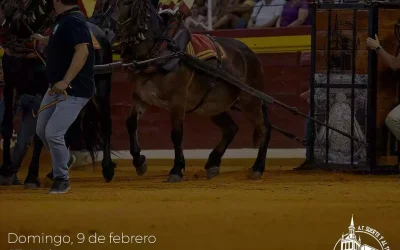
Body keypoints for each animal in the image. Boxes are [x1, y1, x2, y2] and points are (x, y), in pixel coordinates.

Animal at [95, 0, 274, 182]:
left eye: (128, 3)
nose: (106, 28)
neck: (158, 51)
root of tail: (250, 53)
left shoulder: (178, 100)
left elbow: (177, 133)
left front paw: (176, 169)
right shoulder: (142, 96)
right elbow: (130, 123)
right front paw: (139, 161)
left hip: (250, 101)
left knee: (264, 129)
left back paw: (257, 167)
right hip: (212, 106)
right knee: (231, 128)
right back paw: (213, 163)